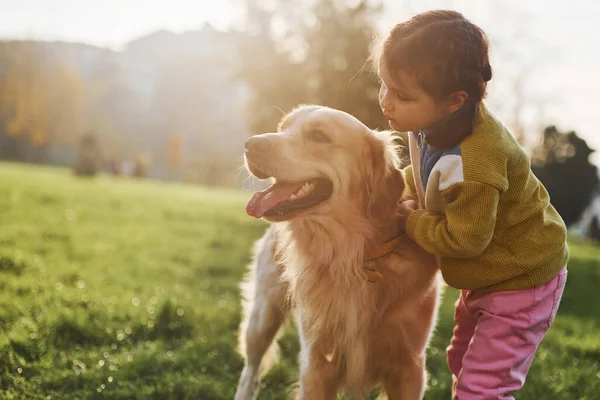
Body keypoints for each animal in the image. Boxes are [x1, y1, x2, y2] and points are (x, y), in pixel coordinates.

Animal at [236, 104, 440, 398]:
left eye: (319, 136)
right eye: (282, 128)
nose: (250, 145)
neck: (352, 254)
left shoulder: (410, 367)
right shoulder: (316, 363)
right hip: (263, 315)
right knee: (250, 373)